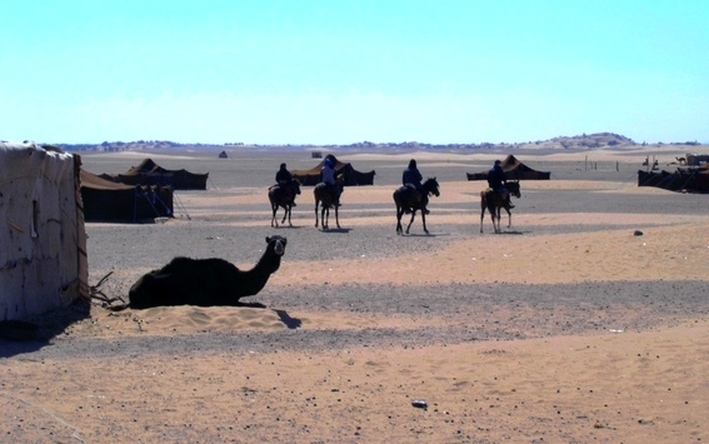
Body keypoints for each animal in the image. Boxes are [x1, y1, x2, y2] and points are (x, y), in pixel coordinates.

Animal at [123, 236, 286, 308]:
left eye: (284, 241)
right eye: (272, 241)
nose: (278, 247)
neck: (239, 279)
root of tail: (131, 292)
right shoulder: (226, 299)